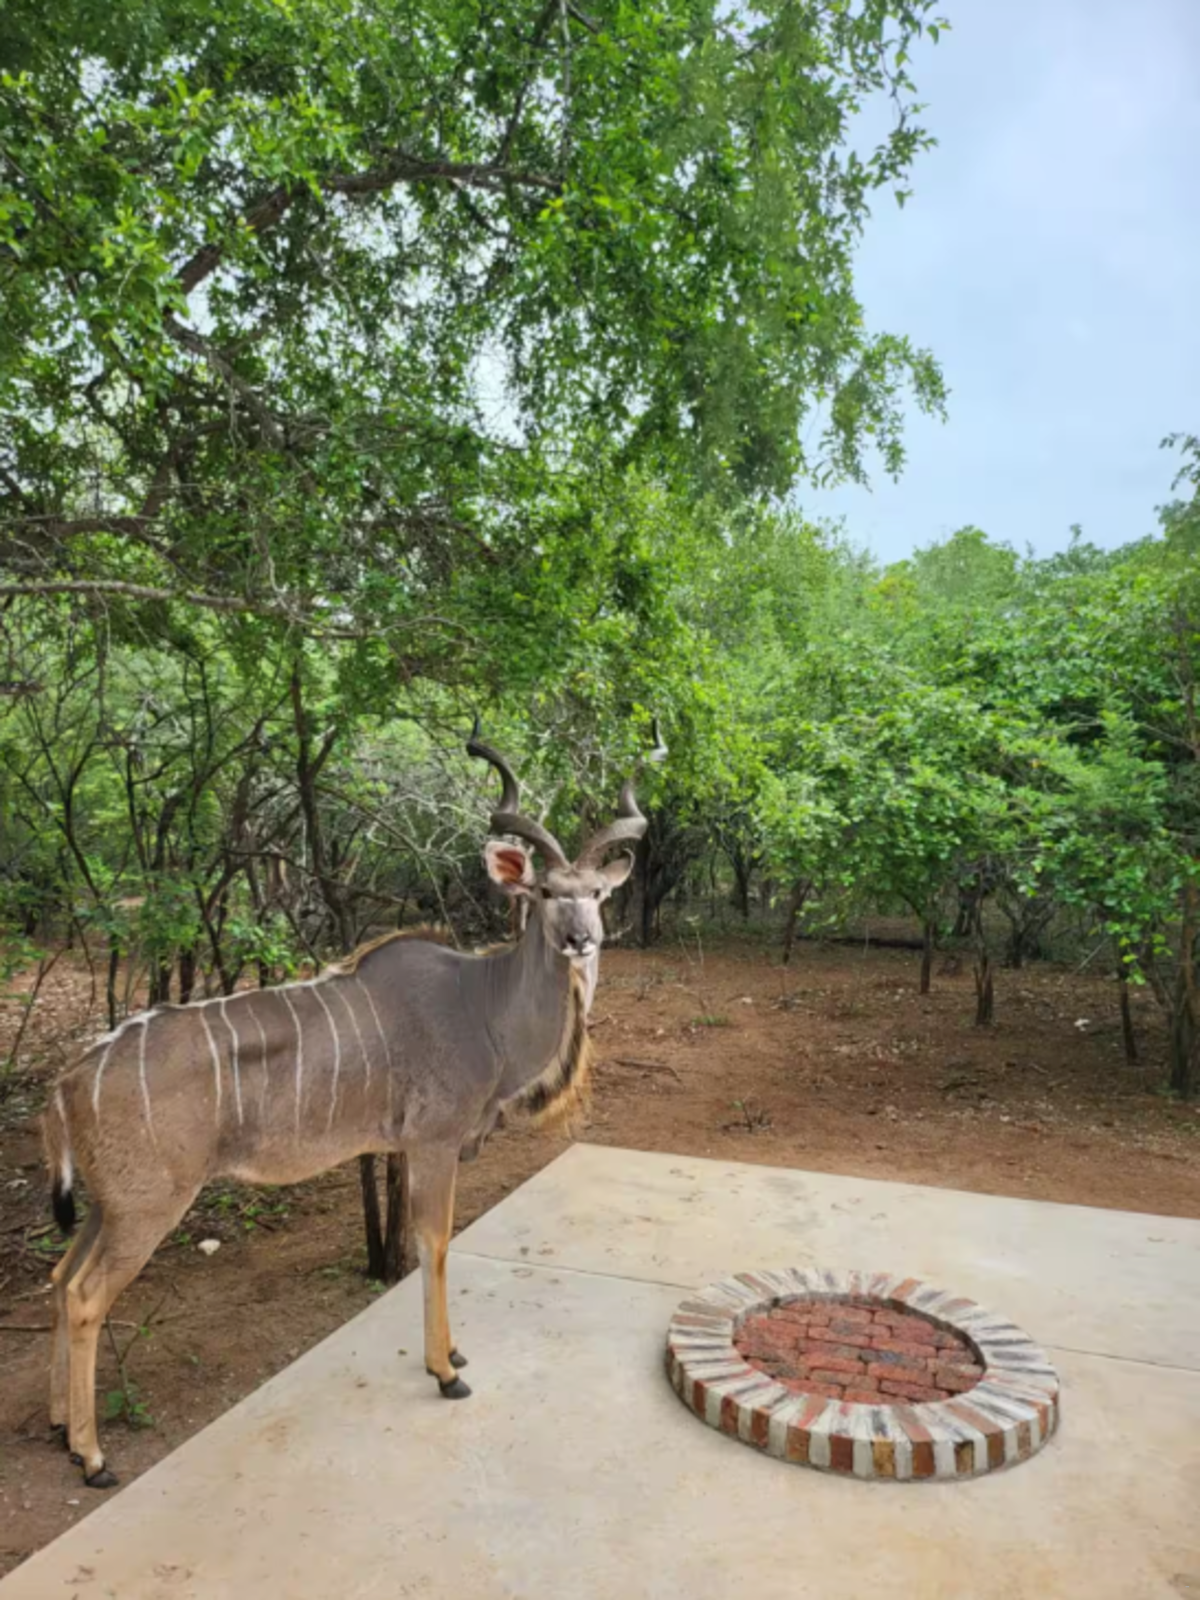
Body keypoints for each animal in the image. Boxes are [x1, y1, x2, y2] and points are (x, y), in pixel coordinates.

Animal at [40, 727, 653, 1488]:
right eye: (543, 891)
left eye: (597, 893)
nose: (580, 939)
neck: (483, 1006)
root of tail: (67, 1082)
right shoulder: (433, 1142)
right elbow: (435, 1242)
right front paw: (446, 1371)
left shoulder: (413, 1149)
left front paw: (452, 1354)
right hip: (149, 1206)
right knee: (87, 1295)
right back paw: (94, 1457)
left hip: (107, 1205)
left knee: (60, 1278)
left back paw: (62, 1427)